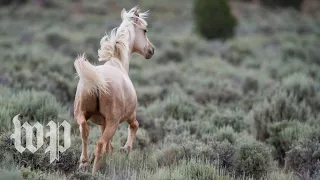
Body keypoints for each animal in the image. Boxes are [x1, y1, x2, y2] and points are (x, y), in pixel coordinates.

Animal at [74, 6, 156, 174]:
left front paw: (111, 154)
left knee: (84, 131)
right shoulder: (130, 115)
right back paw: (94, 171)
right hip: (113, 122)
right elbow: (135, 126)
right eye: (145, 30)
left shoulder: (102, 123)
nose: (151, 50)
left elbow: (109, 145)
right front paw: (126, 149)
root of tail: (97, 83)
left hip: (81, 114)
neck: (118, 62)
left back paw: (84, 163)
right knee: (99, 144)